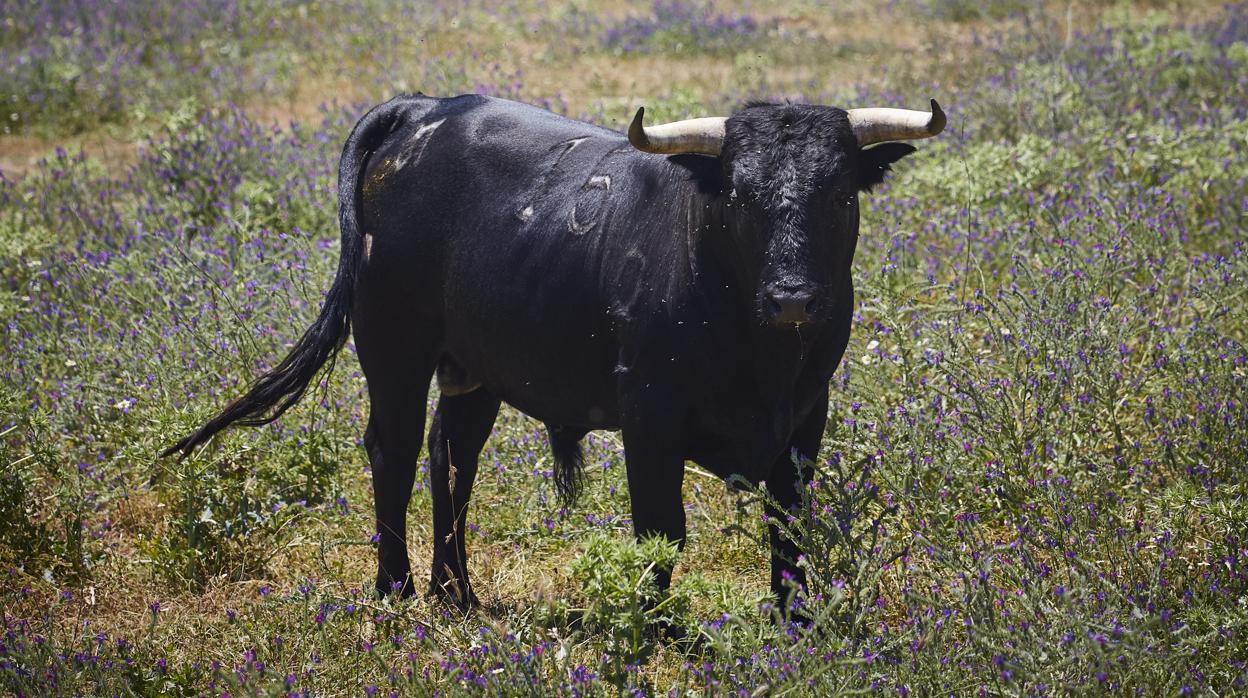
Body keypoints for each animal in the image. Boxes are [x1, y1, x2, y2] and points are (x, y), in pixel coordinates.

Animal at [165, 94, 938, 611]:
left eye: (838, 193)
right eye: (740, 196)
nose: (793, 299)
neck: (759, 348)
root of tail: (428, 108)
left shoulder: (806, 421)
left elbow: (789, 534)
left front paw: (794, 627)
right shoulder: (650, 420)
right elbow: (662, 531)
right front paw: (657, 626)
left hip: (473, 368)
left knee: (453, 456)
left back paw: (457, 592)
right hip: (392, 345)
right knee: (395, 451)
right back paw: (396, 590)